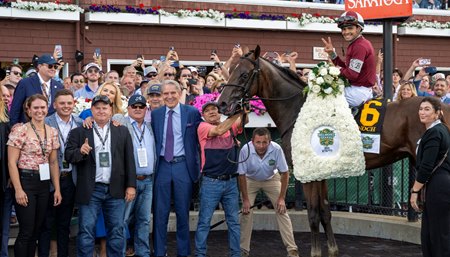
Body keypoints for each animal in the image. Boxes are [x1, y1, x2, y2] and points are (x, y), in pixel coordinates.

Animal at [216, 45, 450, 255]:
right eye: (232, 70)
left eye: (244, 74)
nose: (222, 104)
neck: (297, 108)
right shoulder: (321, 173)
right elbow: (325, 212)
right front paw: (332, 249)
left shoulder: (309, 175)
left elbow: (313, 214)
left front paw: (315, 252)